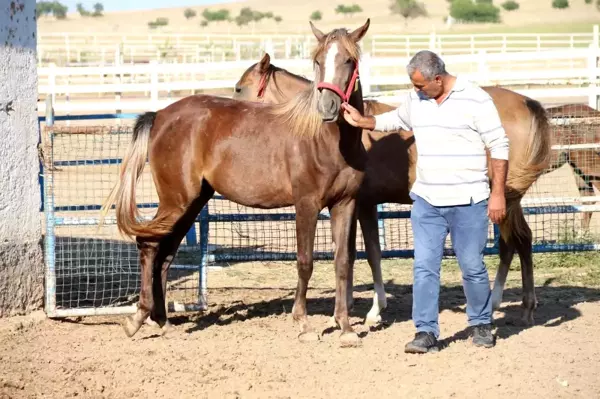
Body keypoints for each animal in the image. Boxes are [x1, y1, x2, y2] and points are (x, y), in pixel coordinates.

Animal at [101, 18, 372, 346]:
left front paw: (345, 328)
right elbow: (305, 262)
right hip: (175, 201)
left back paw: (162, 321)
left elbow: (343, 262)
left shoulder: (345, 204)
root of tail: (161, 115)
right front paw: (304, 324)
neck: (326, 140)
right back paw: (138, 318)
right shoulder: (306, 204)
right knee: (149, 245)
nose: (328, 107)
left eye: (349, 60)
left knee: (165, 254)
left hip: (192, 203)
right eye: (318, 61)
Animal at [232, 54, 552, 328]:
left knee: (516, 241)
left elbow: (368, 253)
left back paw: (510, 305)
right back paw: (513, 305)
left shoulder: (362, 204)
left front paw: (374, 310)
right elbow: (353, 252)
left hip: (504, 199)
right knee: (518, 241)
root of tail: (526, 102)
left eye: (239, 88)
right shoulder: (358, 205)